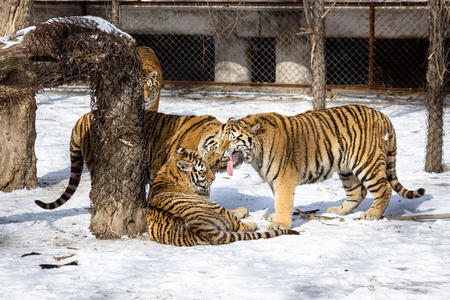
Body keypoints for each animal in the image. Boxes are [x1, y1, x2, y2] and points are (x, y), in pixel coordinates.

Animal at [146, 147, 298, 246]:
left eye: (208, 166)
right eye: (203, 171)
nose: (213, 179)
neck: (170, 172)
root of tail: (201, 228)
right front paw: (243, 210)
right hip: (217, 208)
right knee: (241, 226)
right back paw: (252, 223)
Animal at [214, 104, 426, 229]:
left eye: (232, 139)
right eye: (222, 138)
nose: (219, 151)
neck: (256, 155)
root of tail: (384, 116)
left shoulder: (284, 179)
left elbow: (283, 201)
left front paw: (280, 223)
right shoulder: (274, 180)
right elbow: (278, 200)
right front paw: (275, 217)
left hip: (367, 162)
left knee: (384, 189)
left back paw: (372, 214)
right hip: (347, 169)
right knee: (358, 192)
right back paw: (338, 211)